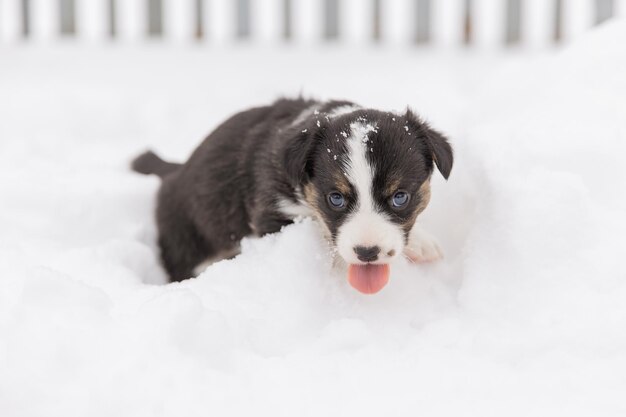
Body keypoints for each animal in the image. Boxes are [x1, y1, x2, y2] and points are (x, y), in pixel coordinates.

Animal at [133, 97, 454, 292]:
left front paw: (421, 242)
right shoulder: (272, 212)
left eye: (400, 197)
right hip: (185, 242)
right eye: (335, 198)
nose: (367, 253)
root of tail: (175, 171)